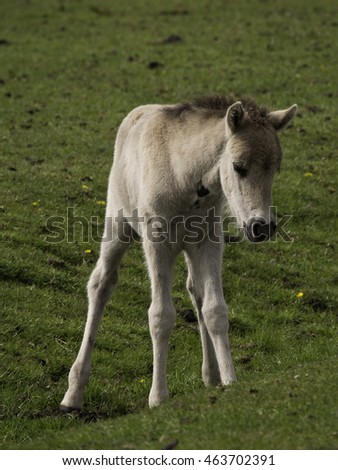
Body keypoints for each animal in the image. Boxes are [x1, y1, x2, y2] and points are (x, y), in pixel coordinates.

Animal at [60, 96, 296, 412]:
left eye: (275, 169)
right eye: (238, 166)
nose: (262, 227)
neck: (187, 178)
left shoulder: (209, 241)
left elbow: (215, 310)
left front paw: (231, 381)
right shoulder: (157, 241)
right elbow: (161, 316)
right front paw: (158, 397)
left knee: (195, 291)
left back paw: (211, 376)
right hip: (118, 224)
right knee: (101, 283)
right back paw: (73, 393)